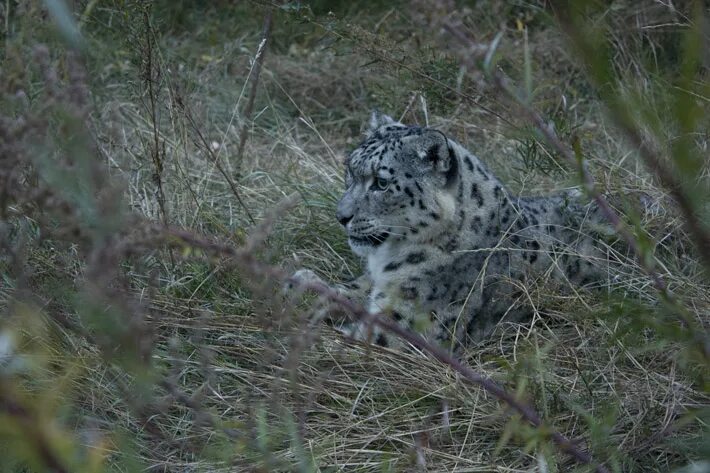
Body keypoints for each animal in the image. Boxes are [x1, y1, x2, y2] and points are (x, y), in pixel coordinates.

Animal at [292, 111, 608, 350]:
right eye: (350, 170)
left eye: (381, 183)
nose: (341, 216)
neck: (387, 259)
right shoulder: (372, 287)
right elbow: (348, 292)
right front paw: (303, 283)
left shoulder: (403, 326)